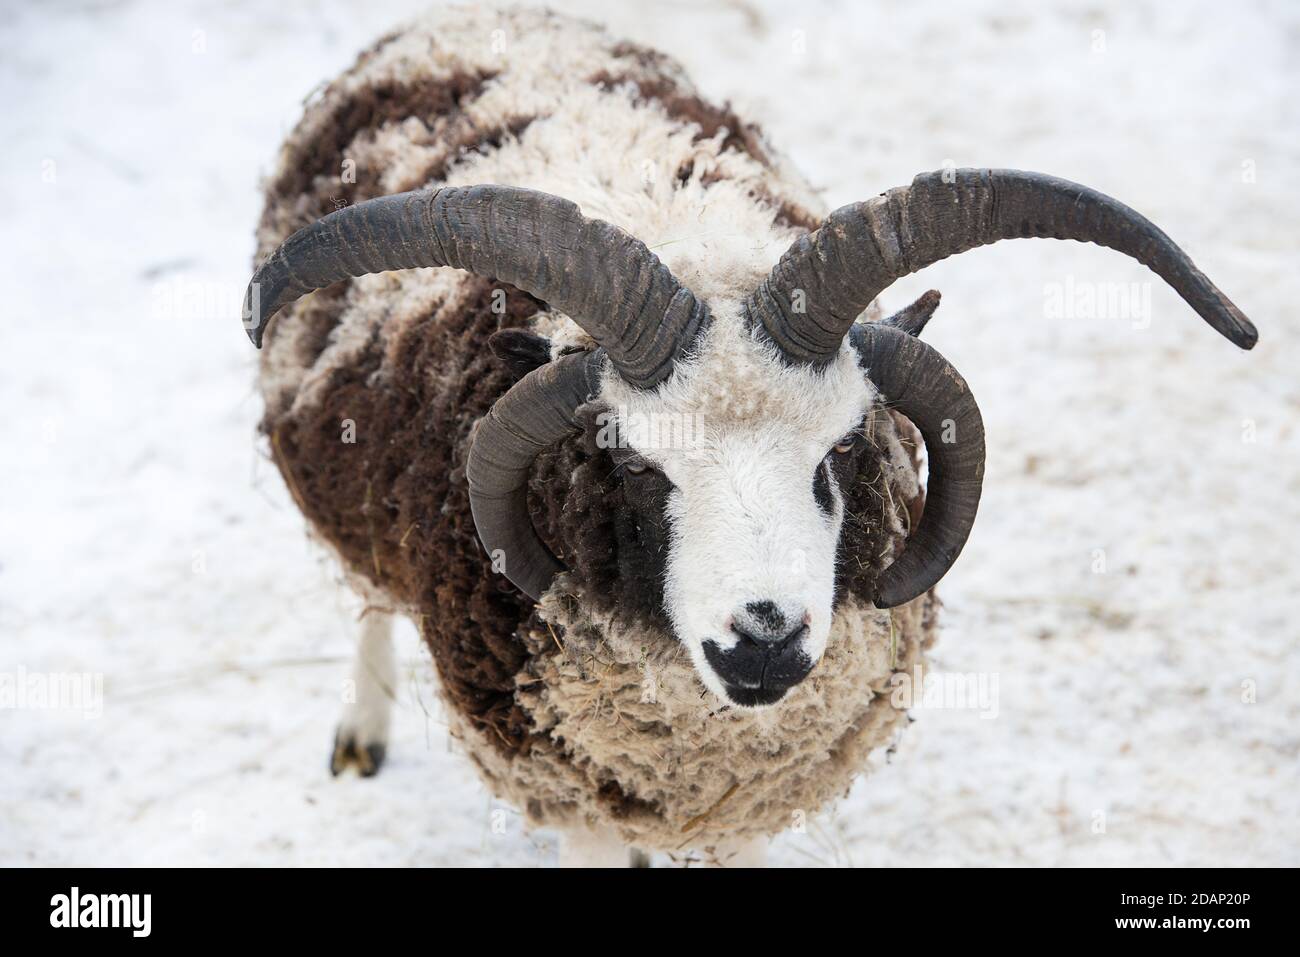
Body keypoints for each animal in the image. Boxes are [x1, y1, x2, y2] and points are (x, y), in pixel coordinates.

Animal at [242, 6, 1256, 866]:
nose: (764, 640)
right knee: (369, 596)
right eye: (633, 464)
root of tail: (463, 16)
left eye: (841, 451)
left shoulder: (748, 801)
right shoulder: (579, 796)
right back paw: (361, 732)